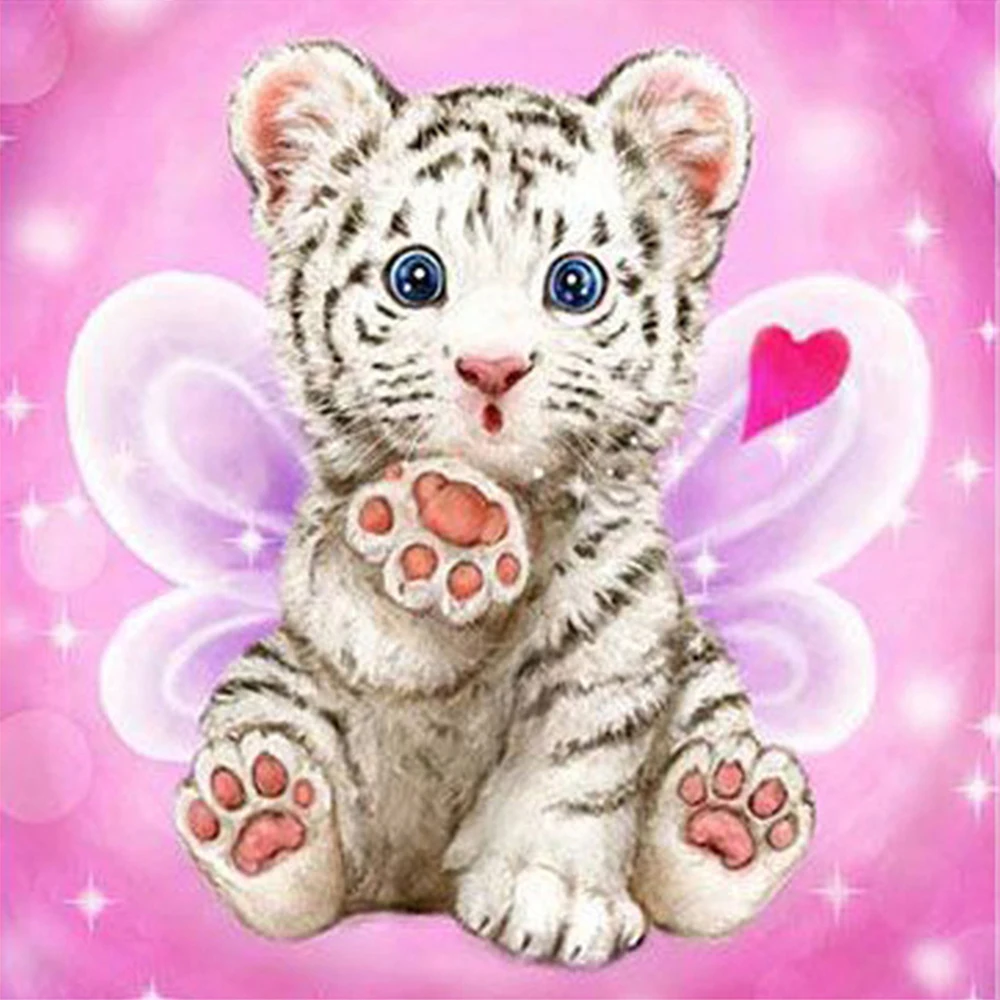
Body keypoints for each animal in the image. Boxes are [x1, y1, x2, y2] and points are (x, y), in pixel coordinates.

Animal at [174, 39, 814, 965]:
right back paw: (258, 817)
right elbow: (376, 616)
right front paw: (442, 527)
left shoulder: (620, 632)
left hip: (702, 679)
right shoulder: (326, 577)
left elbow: (575, 761)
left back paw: (731, 818)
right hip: (271, 680)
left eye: (575, 283)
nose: (492, 367)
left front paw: (551, 895)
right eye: (416, 277)